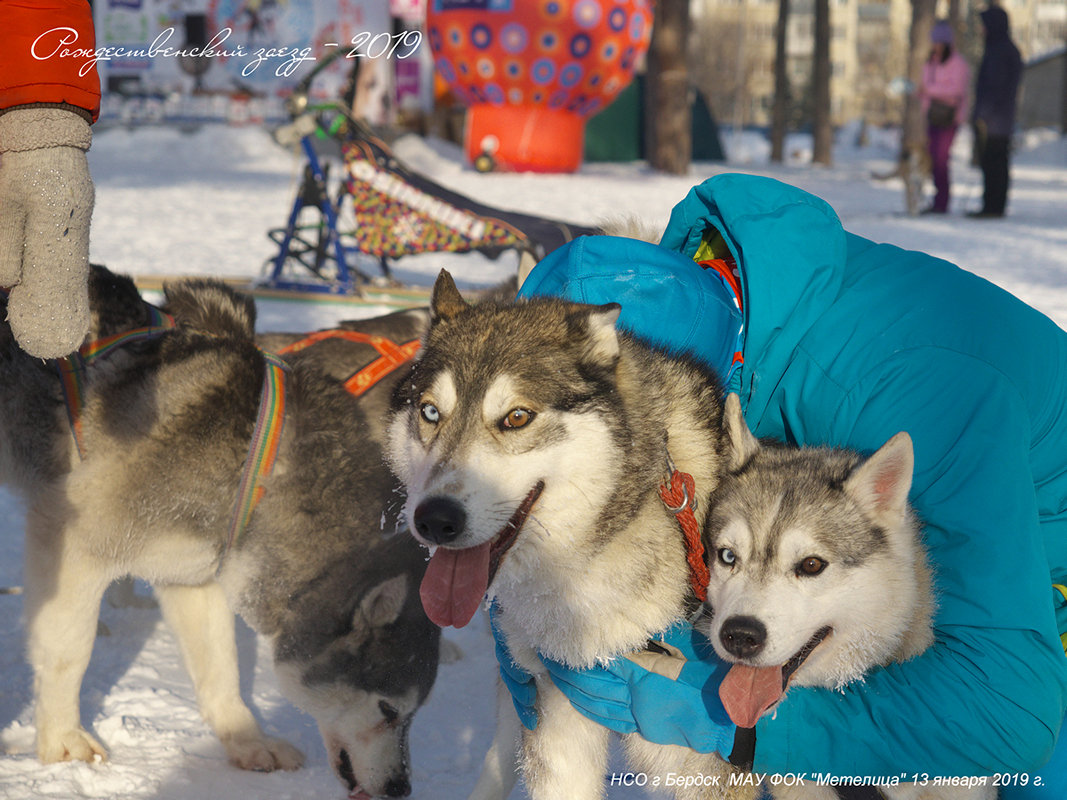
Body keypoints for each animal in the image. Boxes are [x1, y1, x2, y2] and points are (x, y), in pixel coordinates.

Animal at [0, 270, 441, 800]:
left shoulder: (191, 573)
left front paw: (246, 740)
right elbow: (68, 650)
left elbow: (220, 668)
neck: (259, 464)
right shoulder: (74, 539)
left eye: (416, 713)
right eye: (389, 710)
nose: (401, 788)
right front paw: (62, 741)